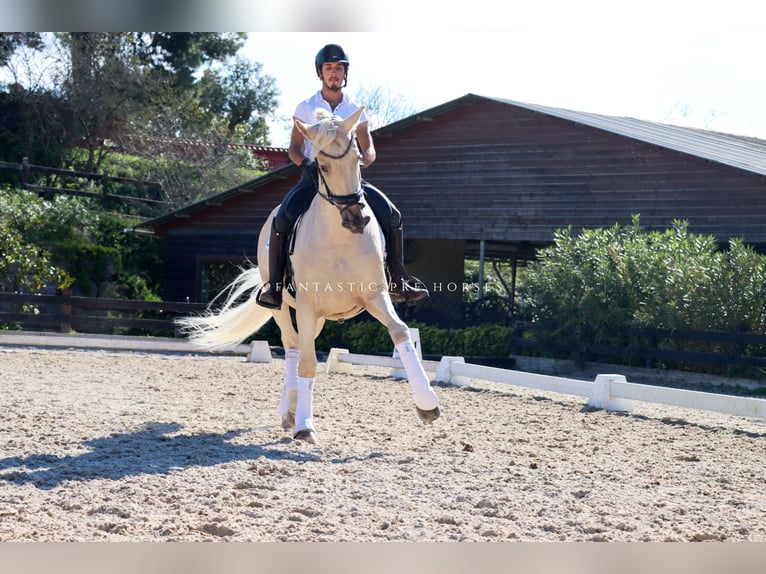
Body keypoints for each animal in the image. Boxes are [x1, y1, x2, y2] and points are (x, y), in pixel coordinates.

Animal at [176, 106, 440, 444]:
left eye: (358, 159)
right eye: (323, 166)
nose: (357, 219)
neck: (340, 239)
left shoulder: (375, 296)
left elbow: (401, 333)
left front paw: (427, 404)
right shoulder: (306, 304)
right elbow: (307, 362)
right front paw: (304, 425)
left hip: (320, 316)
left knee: (303, 344)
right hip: (285, 306)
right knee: (292, 346)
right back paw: (289, 412)